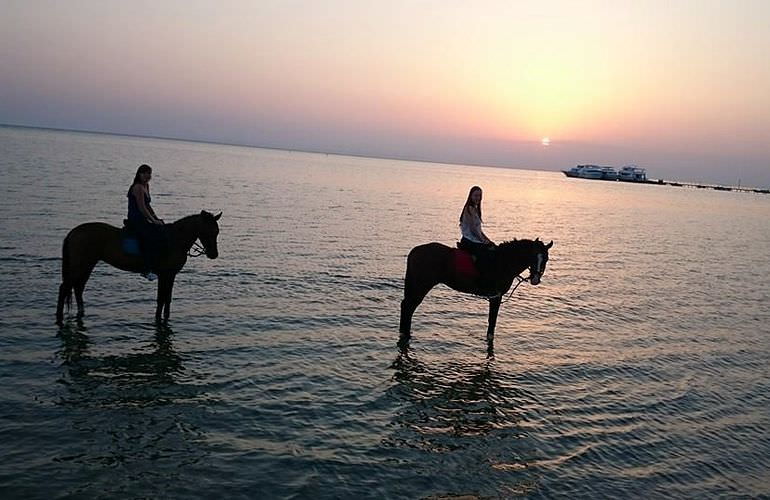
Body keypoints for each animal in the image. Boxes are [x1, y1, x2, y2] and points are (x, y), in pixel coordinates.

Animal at [56, 210, 219, 324]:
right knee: (65, 288)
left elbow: (167, 299)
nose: (214, 254)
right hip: (79, 265)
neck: (174, 240)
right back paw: (59, 316)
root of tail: (73, 232)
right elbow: (161, 299)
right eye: (208, 231)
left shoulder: (170, 275)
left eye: (217, 232)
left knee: (78, 288)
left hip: (87, 265)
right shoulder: (165, 274)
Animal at [396, 238, 552, 344]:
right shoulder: (496, 296)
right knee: (408, 307)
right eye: (533, 257)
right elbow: (492, 321)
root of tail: (415, 251)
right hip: (421, 286)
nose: (535, 279)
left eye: (546, 259)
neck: (504, 262)